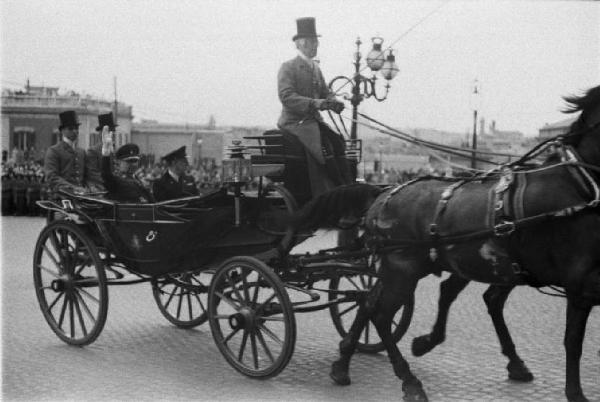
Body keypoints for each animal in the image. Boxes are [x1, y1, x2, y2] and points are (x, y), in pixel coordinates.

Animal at [294, 85, 600, 402]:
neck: (581, 184)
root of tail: (384, 191)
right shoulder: (580, 284)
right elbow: (573, 341)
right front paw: (576, 393)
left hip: (430, 266)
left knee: (371, 303)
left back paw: (343, 365)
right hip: (404, 269)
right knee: (381, 313)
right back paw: (410, 381)